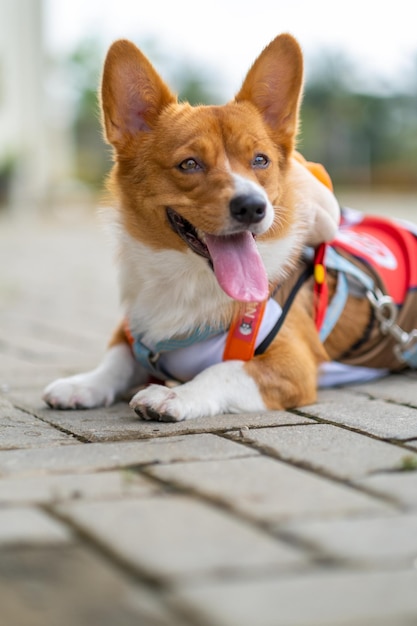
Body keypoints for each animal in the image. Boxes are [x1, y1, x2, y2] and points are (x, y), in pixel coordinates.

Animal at [43, 33, 416, 414]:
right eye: (189, 163)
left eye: (261, 160)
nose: (253, 207)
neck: (186, 281)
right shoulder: (135, 333)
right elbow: (117, 358)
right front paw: (84, 384)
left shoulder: (291, 364)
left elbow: (222, 370)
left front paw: (176, 395)